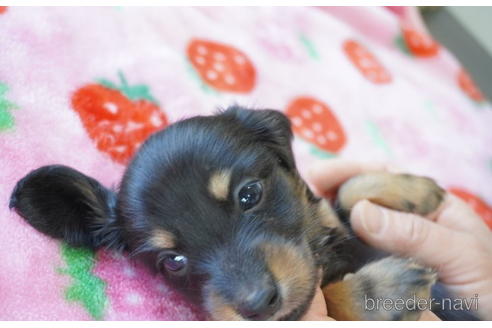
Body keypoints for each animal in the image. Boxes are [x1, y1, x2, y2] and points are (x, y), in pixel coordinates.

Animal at [9, 107, 448, 320]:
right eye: (173, 261)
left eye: (249, 195)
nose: (258, 304)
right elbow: (327, 296)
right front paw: (380, 294)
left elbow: (345, 193)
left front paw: (416, 190)